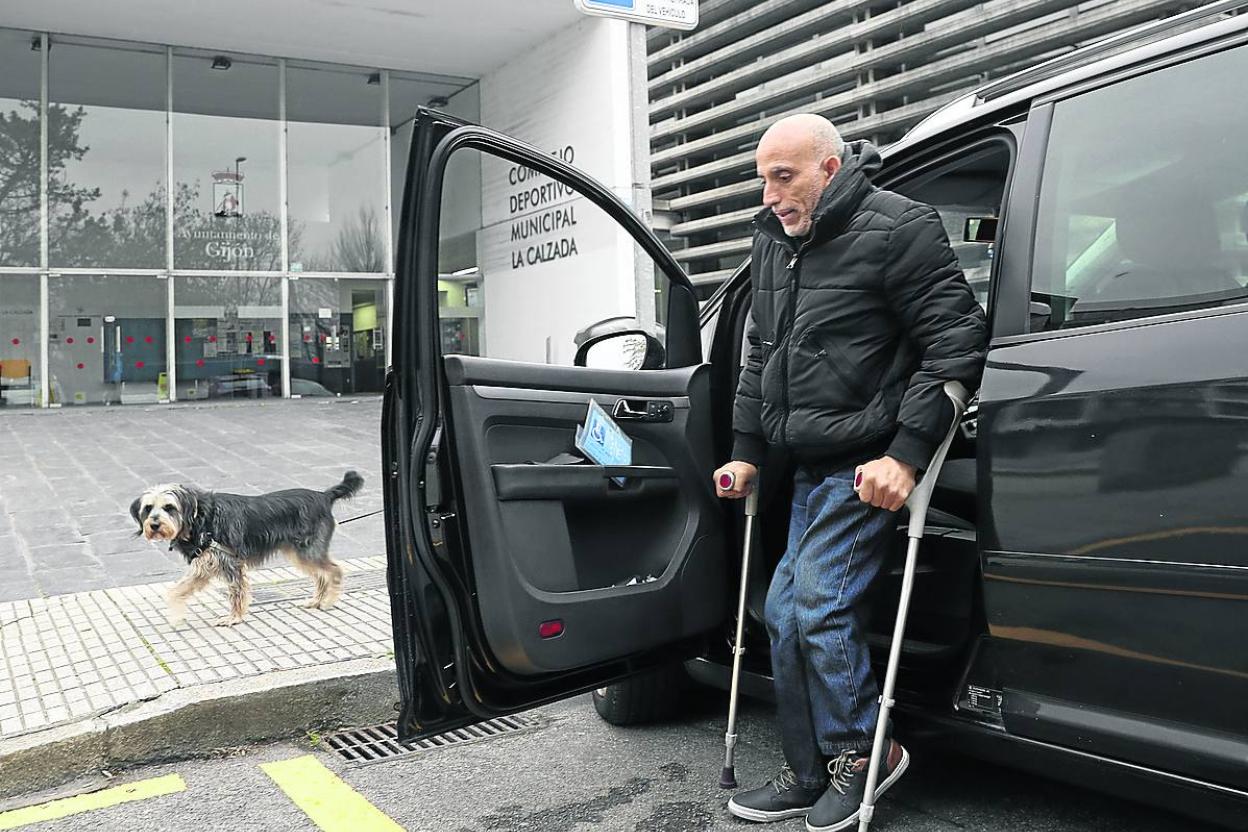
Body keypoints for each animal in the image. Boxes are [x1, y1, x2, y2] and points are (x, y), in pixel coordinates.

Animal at [132, 471, 364, 628]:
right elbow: (177, 591)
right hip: (301, 553)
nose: (154, 525)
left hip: (308, 551)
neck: (200, 518)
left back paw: (329, 601)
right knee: (321, 575)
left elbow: (237, 592)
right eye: (148, 508)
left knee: (334, 571)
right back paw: (316, 600)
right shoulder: (205, 565)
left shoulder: (230, 562)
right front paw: (175, 616)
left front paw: (233, 618)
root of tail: (324, 496)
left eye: (169, 507)